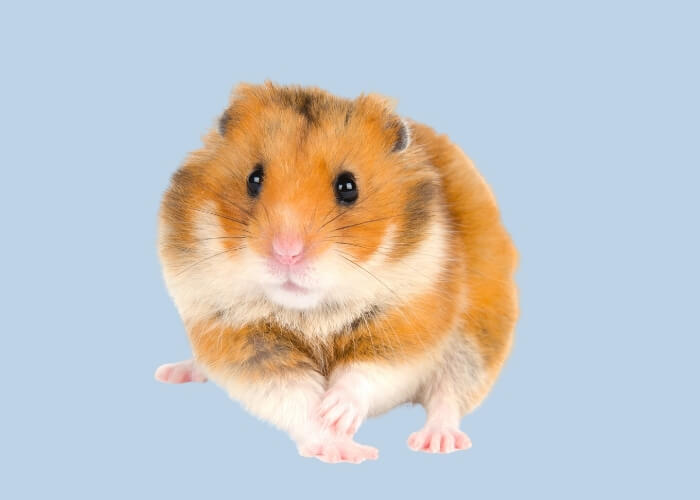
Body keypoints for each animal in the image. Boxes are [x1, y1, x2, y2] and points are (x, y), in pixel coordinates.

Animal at [155, 82, 518, 463]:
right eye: (253, 179)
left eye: (348, 186)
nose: (287, 252)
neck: (311, 312)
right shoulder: (242, 340)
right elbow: (293, 396)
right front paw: (342, 447)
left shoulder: (406, 327)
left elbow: (366, 374)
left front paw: (336, 413)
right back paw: (173, 372)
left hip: (474, 341)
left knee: (448, 397)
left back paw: (436, 442)